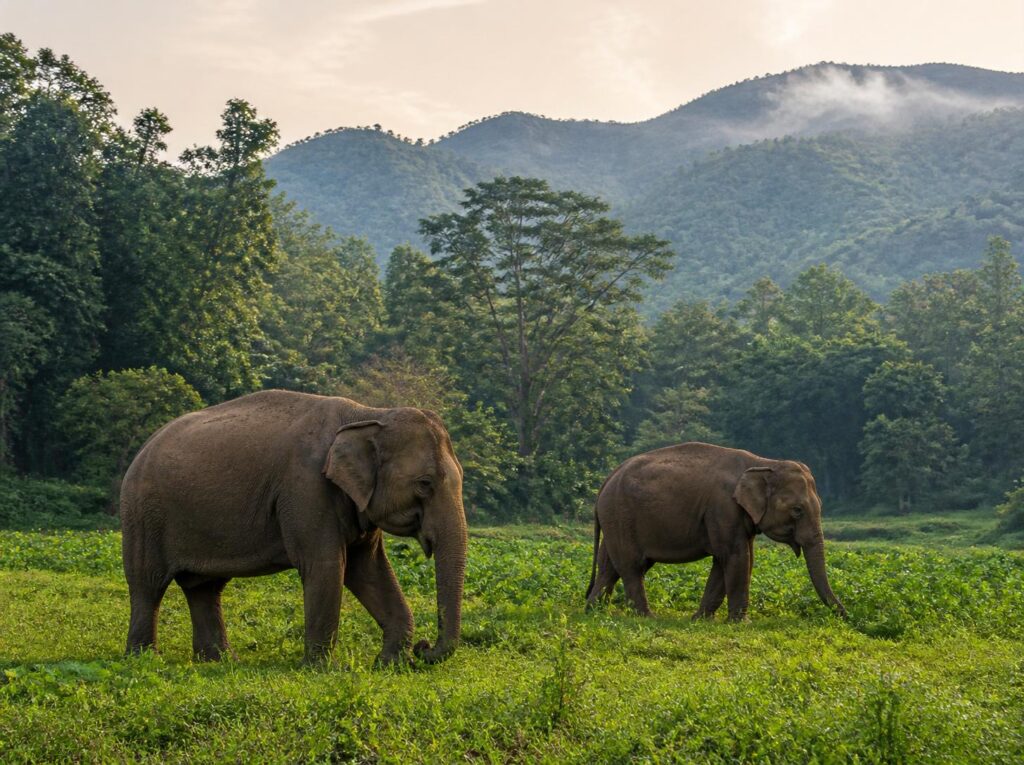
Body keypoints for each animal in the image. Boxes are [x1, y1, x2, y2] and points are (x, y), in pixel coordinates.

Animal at [120, 389, 467, 666]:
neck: (369, 414)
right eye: (425, 484)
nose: (424, 648)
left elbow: (368, 569)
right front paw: (323, 669)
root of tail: (142, 449)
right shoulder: (305, 488)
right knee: (148, 582)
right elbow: (328, 566)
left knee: (204, 587)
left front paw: (389, 664)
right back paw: (145, 660)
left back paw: (220, 662)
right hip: (143, 514)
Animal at [585, 442, 846, 621]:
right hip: (620, 515)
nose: (846, 616)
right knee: (632, 566)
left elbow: (733, 560)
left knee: (610, 567)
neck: (764, 463)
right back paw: (646, 617)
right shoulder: (724, 508)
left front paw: (700, 620)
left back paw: (594, 611)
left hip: (615, 520)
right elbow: (736, 557)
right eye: (797, 510)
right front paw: (742, 623)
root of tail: (606, 481)